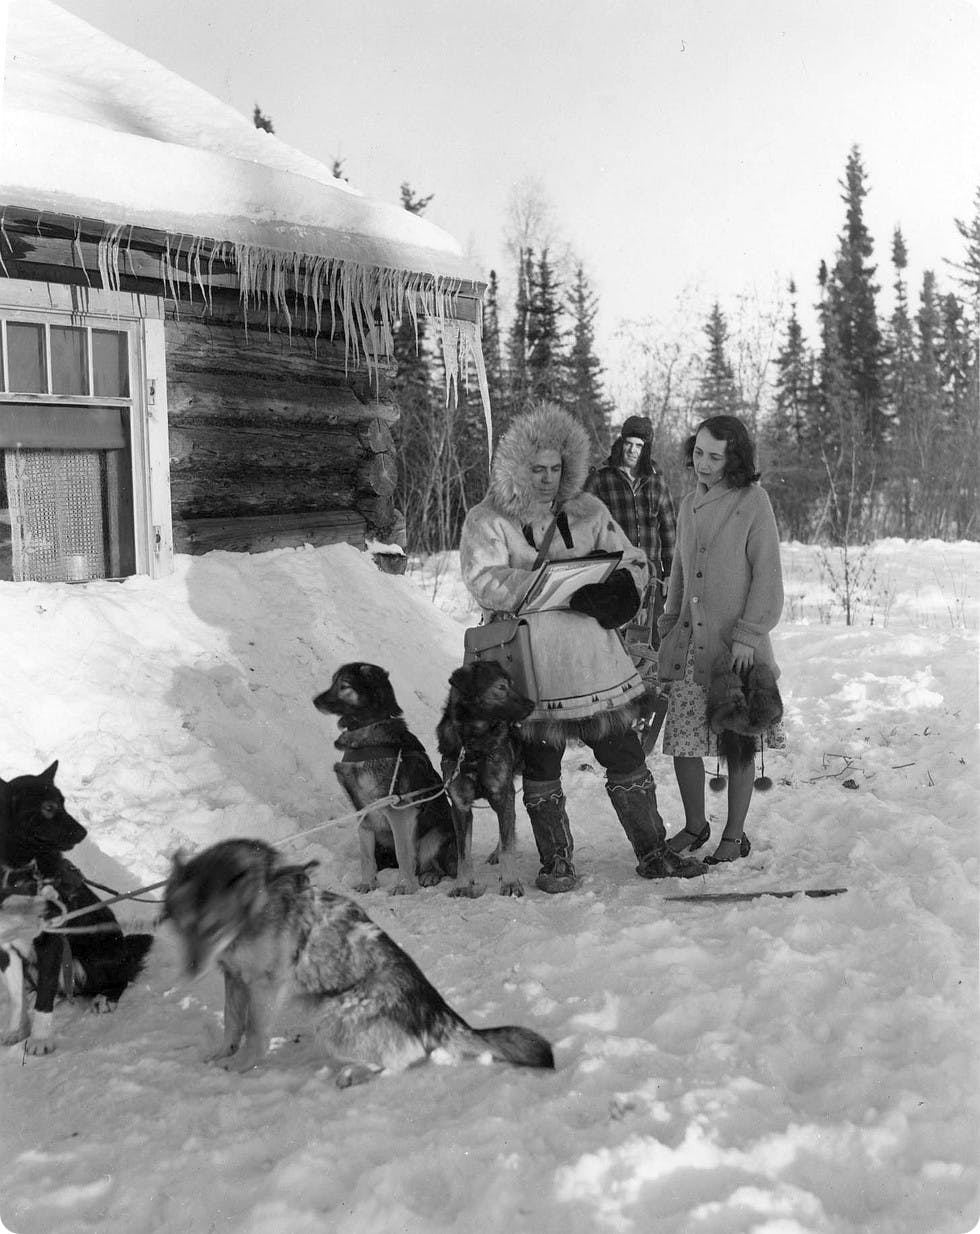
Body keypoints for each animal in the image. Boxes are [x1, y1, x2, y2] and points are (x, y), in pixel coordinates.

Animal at [313, 661, 459, 893]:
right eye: (332, 682)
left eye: (344, 685)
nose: (315, 701)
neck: (366, 734)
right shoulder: (363, 813)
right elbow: (366, 856)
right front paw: (367, 884)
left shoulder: (398, 811)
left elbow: (403, 853)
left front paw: (404, 887)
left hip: (435, 835)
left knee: (436, 865)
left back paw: (429, 875)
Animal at [436, 666, 535, 898]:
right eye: (501, 687)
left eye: (512, 684)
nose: (532, 705)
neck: (473, 746)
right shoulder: (460, 806)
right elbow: (463, 854)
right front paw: (463, 885)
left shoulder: (502, 794)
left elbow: (508, 847)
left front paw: (510, 883)